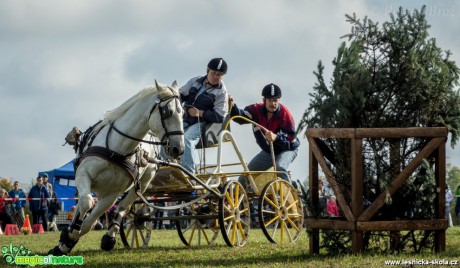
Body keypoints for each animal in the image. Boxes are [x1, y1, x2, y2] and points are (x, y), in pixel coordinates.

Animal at [47, 80, 183, 255]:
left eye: (182, 112)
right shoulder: (83, 175)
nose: (178, 149)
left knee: (124, 206)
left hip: (144, 180)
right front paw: (67, 238)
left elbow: (90, 223)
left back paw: (109, 236)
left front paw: (73, 237)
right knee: (84, 204)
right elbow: (85, 203)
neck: (117, 149)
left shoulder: (113, 193)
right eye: (168, 112)